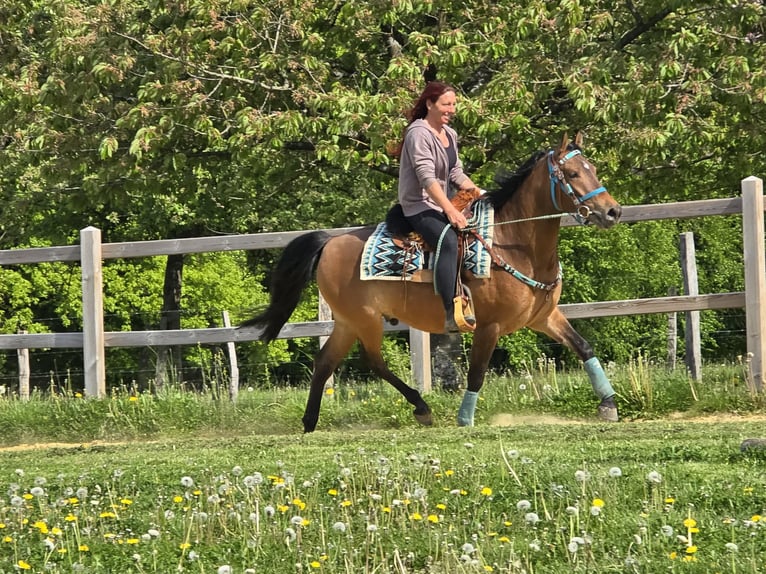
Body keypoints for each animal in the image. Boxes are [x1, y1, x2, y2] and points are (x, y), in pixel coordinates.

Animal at [244, 132, 623, 432]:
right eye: (572, 173)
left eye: (593, 169)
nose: (612, 211)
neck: (511, 241)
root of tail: (331, 241)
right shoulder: (489, 325)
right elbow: (477, 373)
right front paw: (465, 418)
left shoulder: (544, 317)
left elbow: (584, 347)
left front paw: (608, 404)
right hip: (364, 319)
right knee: (373, 361)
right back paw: (421, 407)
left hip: (347, 322)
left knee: (325, 362)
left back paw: (310, 422)